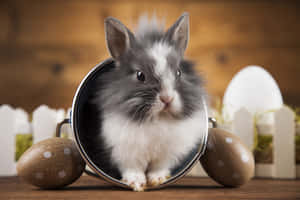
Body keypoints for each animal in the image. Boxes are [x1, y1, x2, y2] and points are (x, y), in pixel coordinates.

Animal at [92, 13, 207, 191]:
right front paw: (136, 183)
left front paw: (157, 179)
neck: (158, 118)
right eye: (140, 75)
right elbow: (133, 168)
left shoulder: (167, 153)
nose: (167, 98)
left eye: (179, 72)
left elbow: (159, 167)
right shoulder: (125, 151)